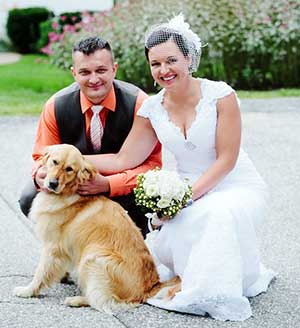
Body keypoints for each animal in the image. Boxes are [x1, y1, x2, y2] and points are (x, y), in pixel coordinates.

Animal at [13, 144, 178, 312]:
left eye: (69, 169)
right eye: (54, 162)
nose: (52, 183)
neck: (68, 192)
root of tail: (149, 287)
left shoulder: (52, 247)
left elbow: (41, 273)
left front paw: (28, 291)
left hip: (93, 256)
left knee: (102, 301)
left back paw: (76, 300)